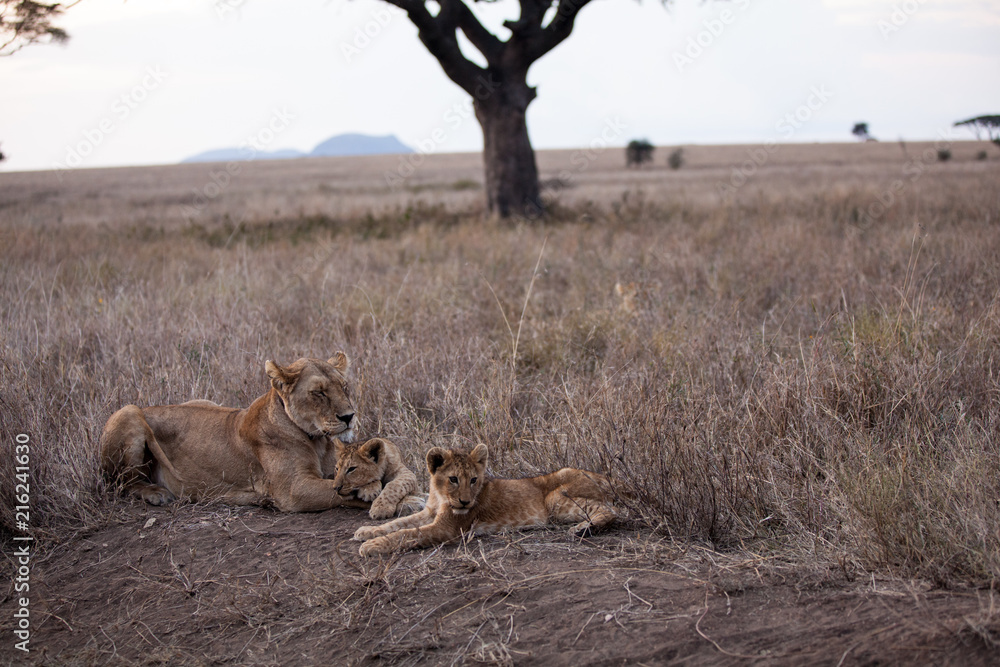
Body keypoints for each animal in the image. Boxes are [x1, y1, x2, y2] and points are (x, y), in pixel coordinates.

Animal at [99, 353, 371, 513]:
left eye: (344, 387)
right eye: (319, 392)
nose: (349, 416)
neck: (318, 441)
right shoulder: (295, 490)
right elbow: (339, 492)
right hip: (129, 411)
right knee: (122, 482)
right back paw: (156, 493)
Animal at [353, 444, 616, 556]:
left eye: (473, 480)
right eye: (453, 479)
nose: (465, 503)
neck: (440, 495)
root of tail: (608, 477)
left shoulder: (447, 528)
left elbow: (406, 534)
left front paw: (372, 545)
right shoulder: (429, 513)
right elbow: (397, 524)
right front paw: (366, 531)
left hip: (554, 498)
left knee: (612, 510)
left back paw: (583, 528)